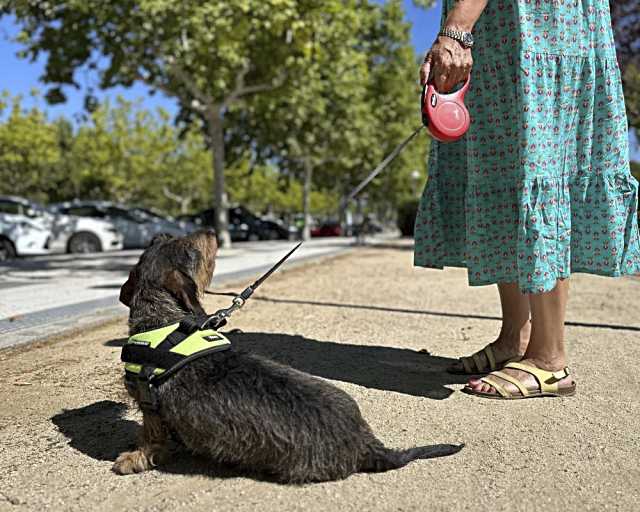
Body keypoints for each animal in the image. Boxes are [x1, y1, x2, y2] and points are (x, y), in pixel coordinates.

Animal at [114, 230, 460, 482]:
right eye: (190, 250)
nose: (212, 230)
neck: (163, 321)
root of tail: (368, 445)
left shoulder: (150, 407)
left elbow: (151, 436)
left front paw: (133, 458)